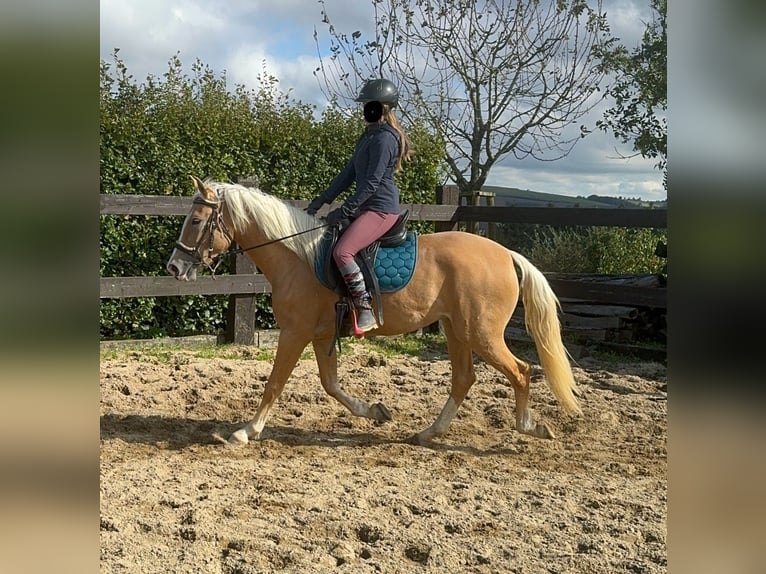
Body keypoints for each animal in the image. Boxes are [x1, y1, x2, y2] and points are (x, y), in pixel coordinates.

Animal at [165, 178, 580, 448]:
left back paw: (529, 427)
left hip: (481, 334)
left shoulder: (295, 332)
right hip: (455, 330)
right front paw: (377, 411)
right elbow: (330, 385)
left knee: (521, 371)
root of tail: (506, 255)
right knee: (464, 378)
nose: (174, 267)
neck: (297, 255)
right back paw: (428, 433)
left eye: (197, 221)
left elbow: (275, 383)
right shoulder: (320, 335)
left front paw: (246, 431)